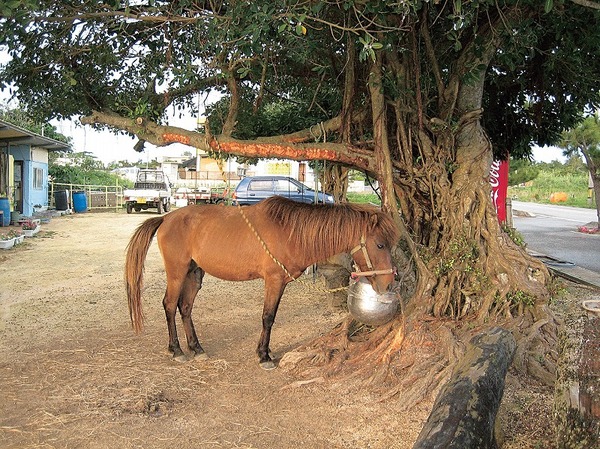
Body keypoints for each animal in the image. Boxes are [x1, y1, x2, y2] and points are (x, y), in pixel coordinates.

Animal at [125, 195, 398, 368]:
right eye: (380, 244)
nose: (388, 284)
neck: (290, 232)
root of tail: (165, 219)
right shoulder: (274, 281)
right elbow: (268, 317)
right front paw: (264, 356)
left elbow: (270, 317)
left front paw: (264, 351)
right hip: (177, 272)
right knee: (170, 305)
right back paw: (177, 350)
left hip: (195, 273)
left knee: (185, 307)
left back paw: (196, 348)